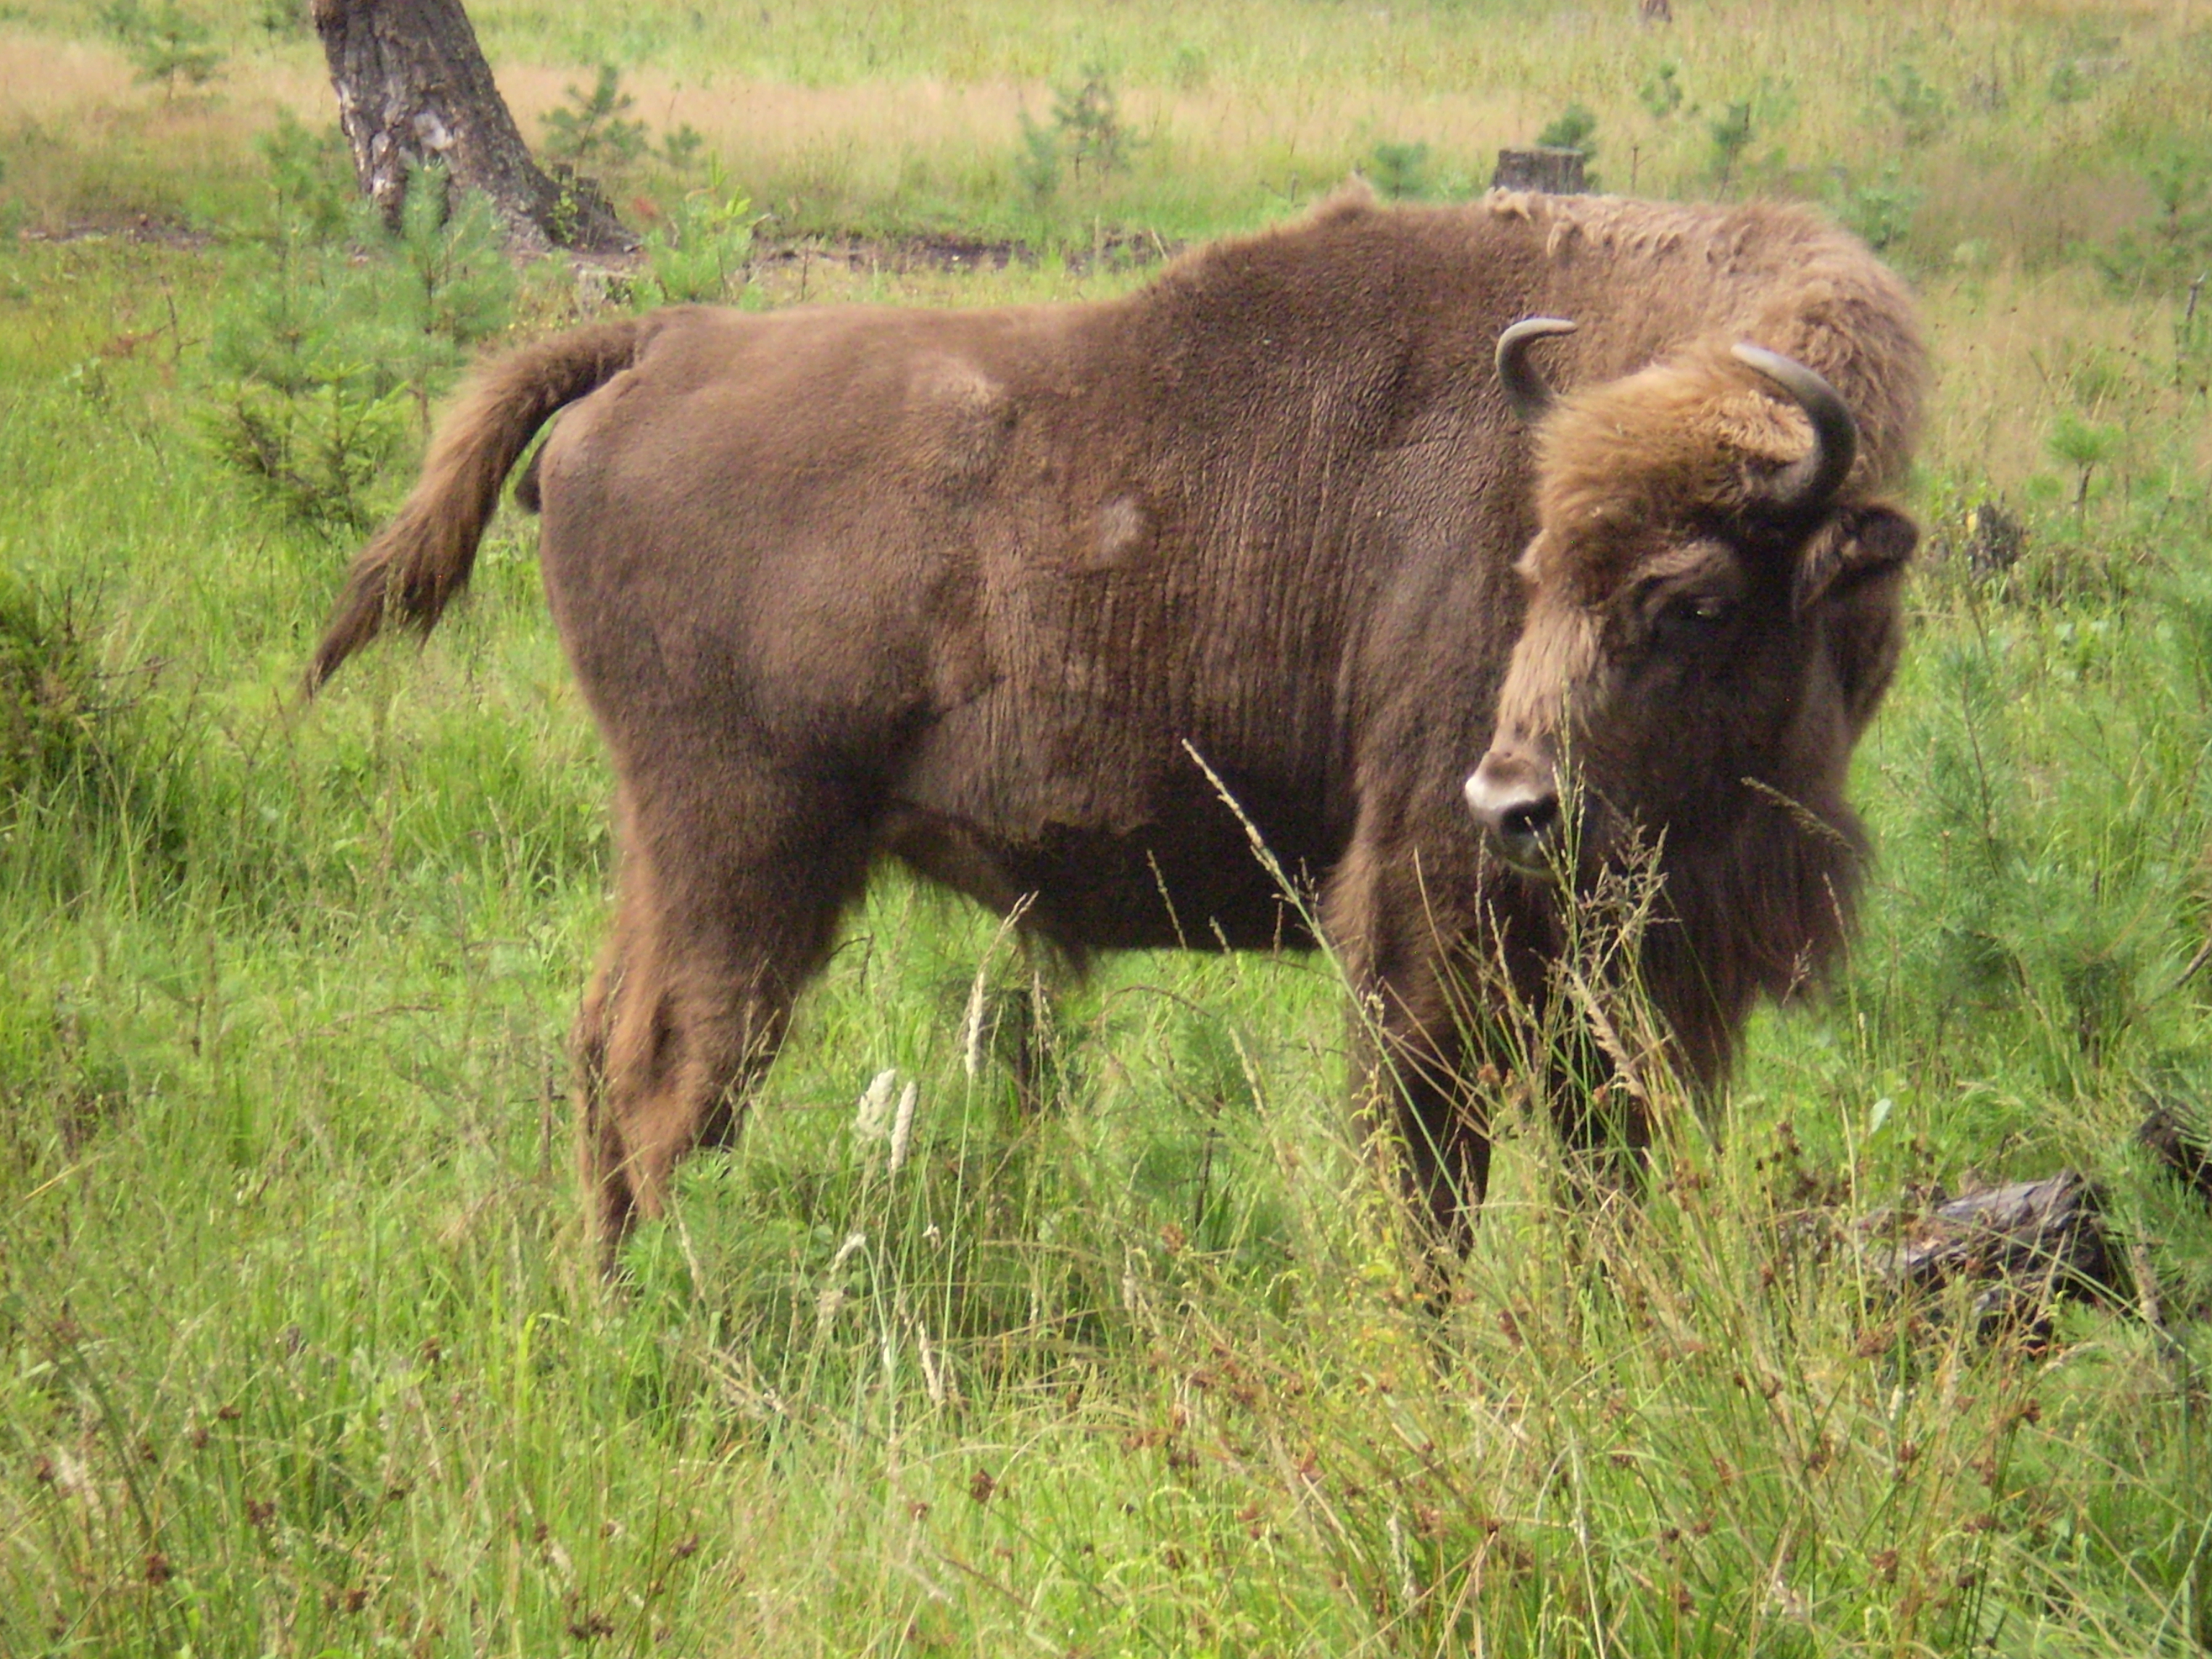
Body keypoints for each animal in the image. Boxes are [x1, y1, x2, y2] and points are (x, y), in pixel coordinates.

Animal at [307, 184, 1920, 1256]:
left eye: (1691, 599)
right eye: (1528, 569)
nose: (1513, 800)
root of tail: (666, 340)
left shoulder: (1628, 965)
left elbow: (1603, 1168)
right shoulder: (1433, 917)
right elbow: (1431, 1169)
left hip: (678, 848)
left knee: (606, 1056)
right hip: (742, 849)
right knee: (667, 1077)